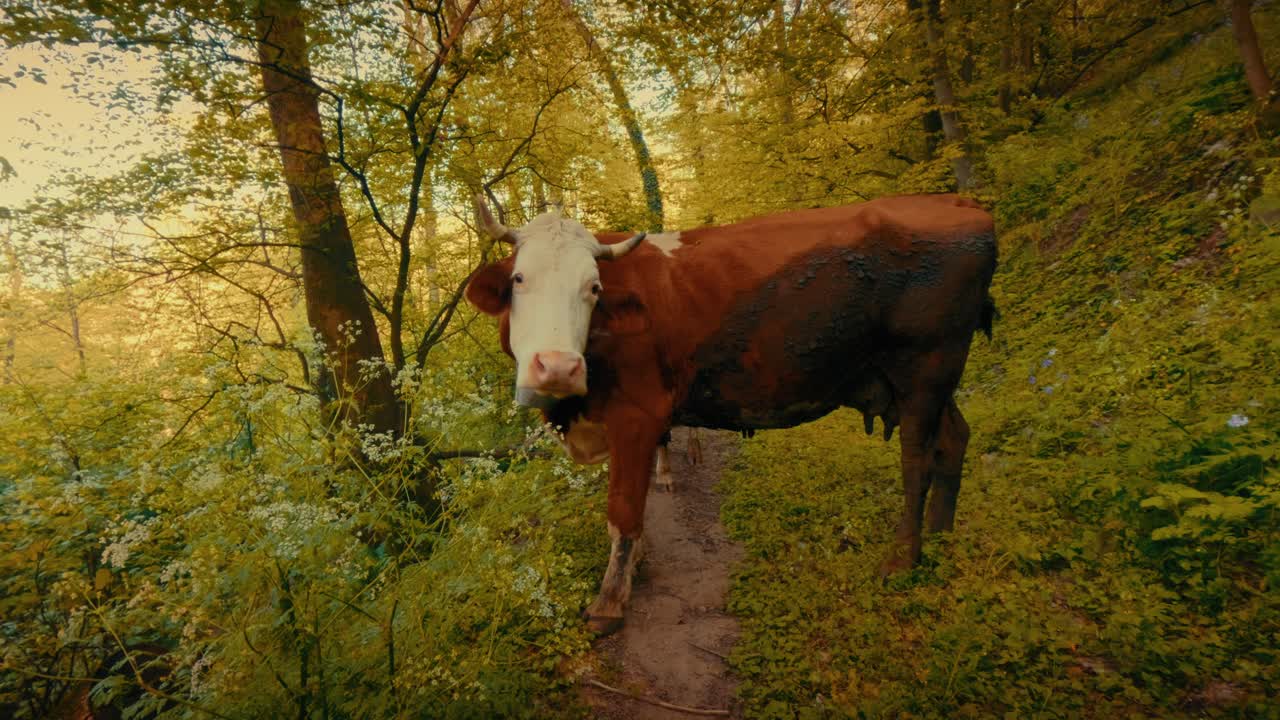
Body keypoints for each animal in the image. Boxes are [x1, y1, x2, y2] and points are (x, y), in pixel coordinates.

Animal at [465, 194, 997, 635]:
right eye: (519, 279)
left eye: (593, 287)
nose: (558, 366)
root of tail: (958, 202)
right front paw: (634, 565)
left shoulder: (638, 416)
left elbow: (623, 510)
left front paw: (610, 600)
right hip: (923, 381)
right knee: (954, 439)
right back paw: (941, 537)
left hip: (924, 368)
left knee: (918, 462)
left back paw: (902, 560)